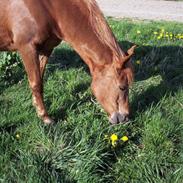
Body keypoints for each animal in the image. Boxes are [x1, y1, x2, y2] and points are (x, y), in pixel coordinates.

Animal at [0, 0, 136, 124]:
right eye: (122, 87)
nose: (125, 118)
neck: (49, 8)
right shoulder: (27, 49)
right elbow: (36, 83)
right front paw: (45, 118)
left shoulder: (46, 49)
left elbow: (40, 80)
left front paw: (37, 107)